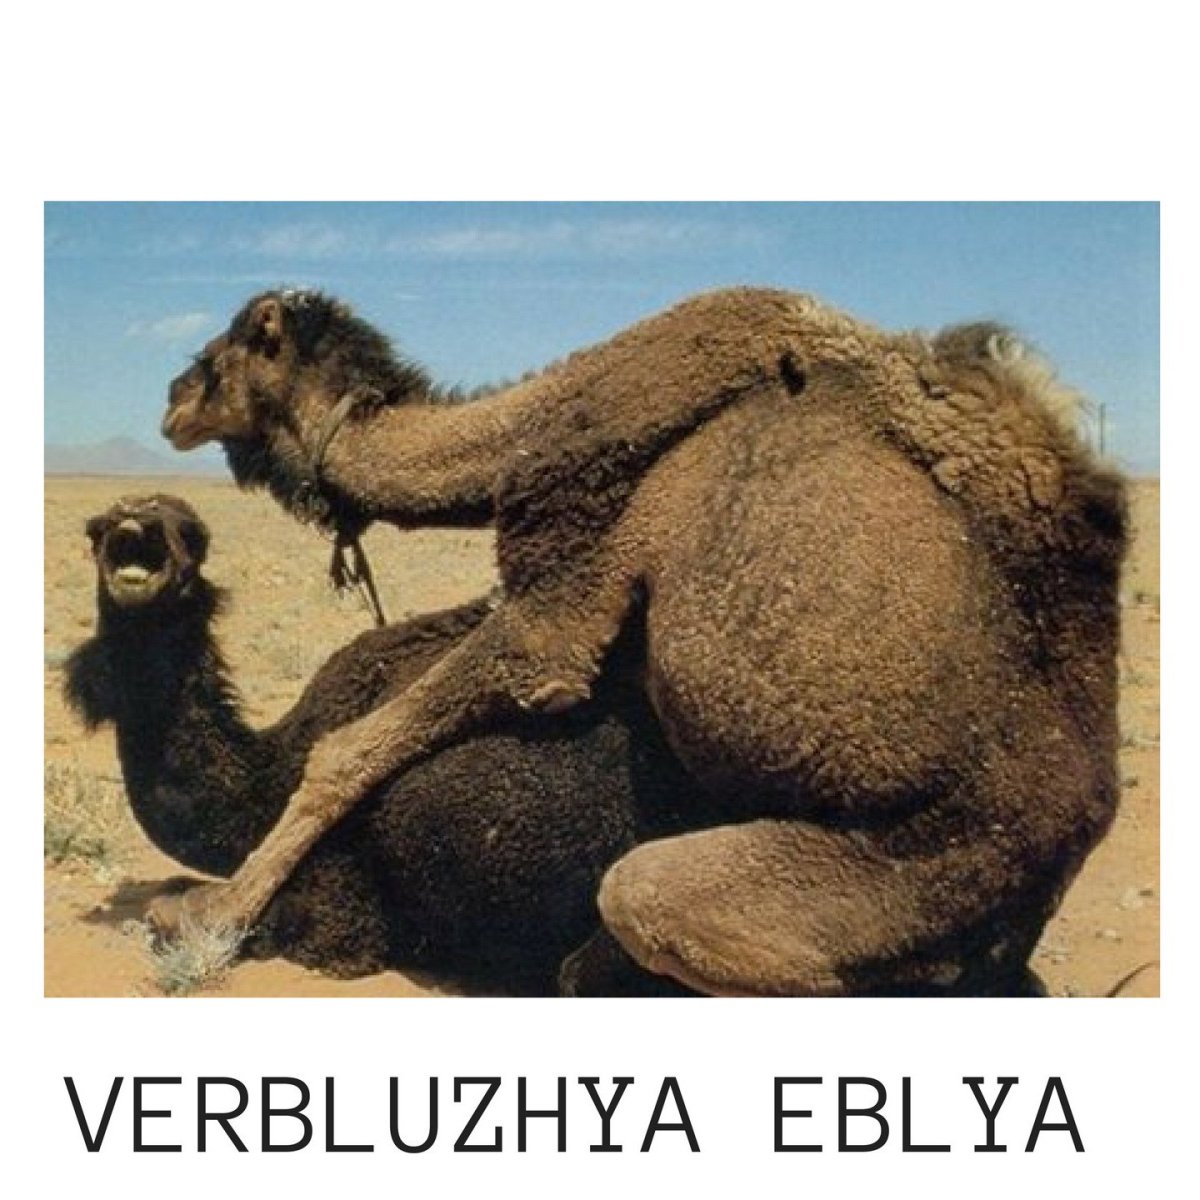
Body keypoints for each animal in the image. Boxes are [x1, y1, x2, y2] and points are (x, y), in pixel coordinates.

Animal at [64, 493, 702, 991]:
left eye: (192, 535)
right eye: (96, 528)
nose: (136, 519)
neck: (269, 776)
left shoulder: (342, 913)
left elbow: (179, 914)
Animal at [158, 286, 1128, 996]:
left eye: (216, 359)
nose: (169, 403)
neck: (524, 433)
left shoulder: (570, 578)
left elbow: (348, 749)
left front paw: (212, 914)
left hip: (924, 871)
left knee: (649, 900)